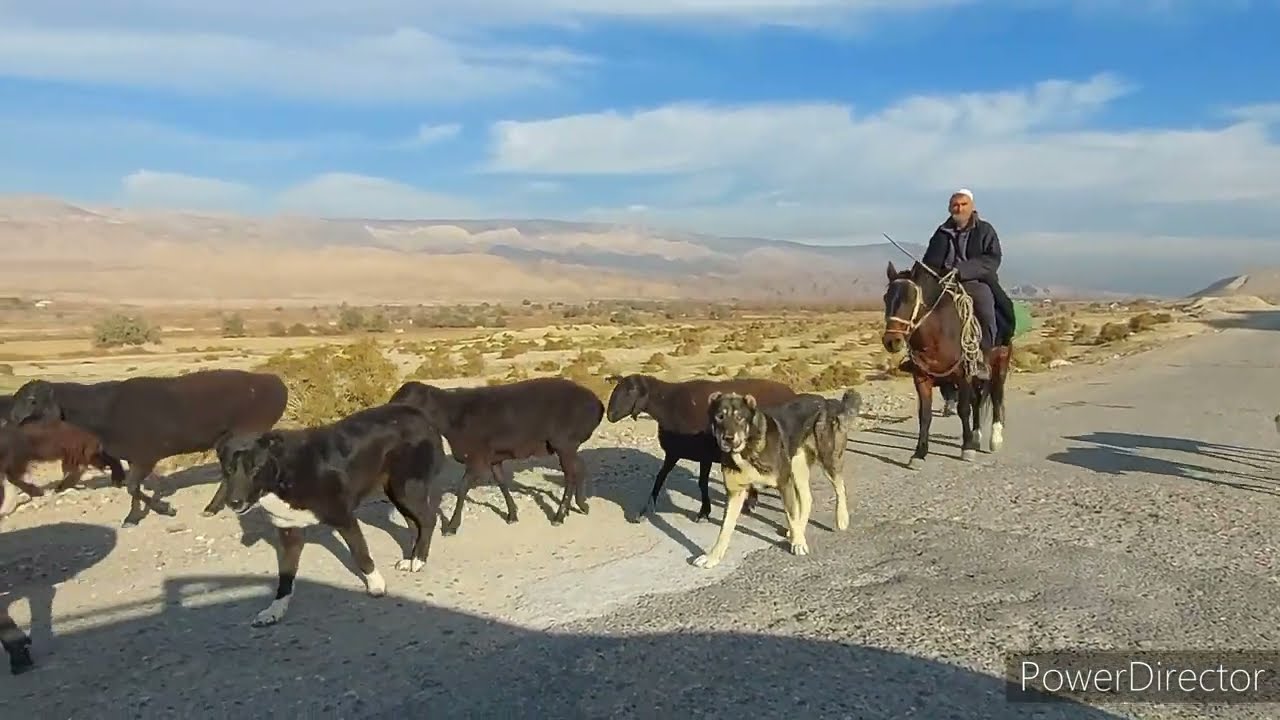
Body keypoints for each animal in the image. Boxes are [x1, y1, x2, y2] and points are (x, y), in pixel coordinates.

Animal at [388, 377, 604, 534]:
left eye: (408, 400)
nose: (390, 416)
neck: (451, 416)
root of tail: (598, 404)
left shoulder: (477, 459)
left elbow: (462, 488)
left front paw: (451, 526)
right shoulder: (494, 459)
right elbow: (501, 483)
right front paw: (512, 515)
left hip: (564, 443)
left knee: (570, 475)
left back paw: (560, 515)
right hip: (569, 446)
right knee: (579, 468)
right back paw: (581, 505)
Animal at [604, 374, 799, 522]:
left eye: (631, 390)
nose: (610, 415)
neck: (668, 405)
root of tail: (791, 392)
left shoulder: (704, 455)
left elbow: (702, 483)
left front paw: (704, 512)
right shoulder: (674, 452)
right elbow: (660, 478)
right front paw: (644, 511)